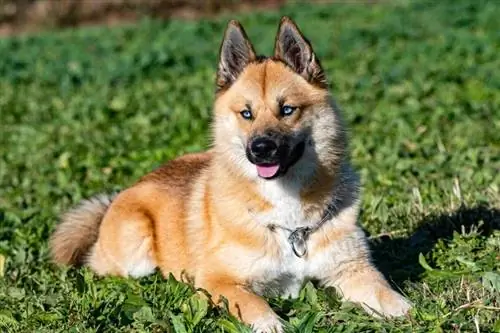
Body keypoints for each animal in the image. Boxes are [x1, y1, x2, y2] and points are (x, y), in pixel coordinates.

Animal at [49, 16, 410, 332]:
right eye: (246, 114)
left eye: (287, 110)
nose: (261, 148)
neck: (289, 221)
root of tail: (118, 198)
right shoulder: (218, 281)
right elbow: (255, 305)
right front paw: (271, 324)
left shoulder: (352, 270)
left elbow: (392, 299)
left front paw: (407, 312)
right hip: (135, 251)